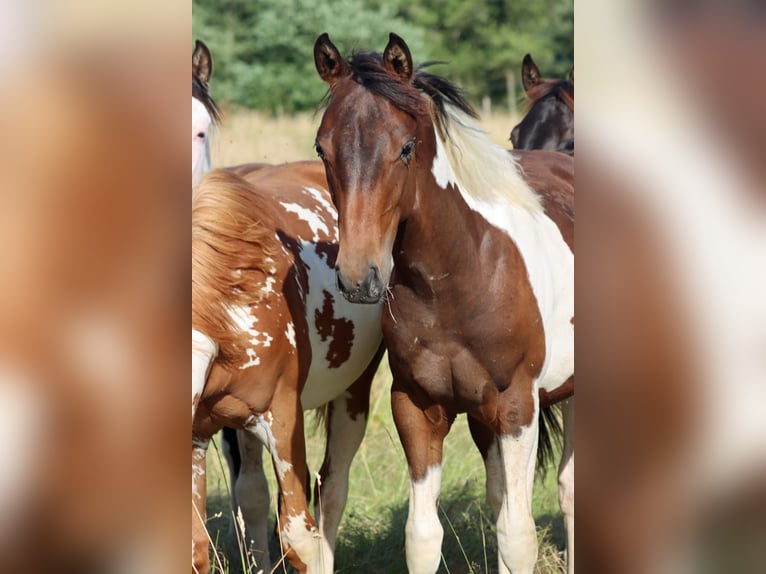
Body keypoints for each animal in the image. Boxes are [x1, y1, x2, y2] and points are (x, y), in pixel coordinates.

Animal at [192, 162, 385, 574]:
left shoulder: (282, 420)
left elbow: (301, 537)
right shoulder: (197, 434)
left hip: (353, 393)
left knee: (332, 487)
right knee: (252, 494)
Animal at [313, 33, 574, 574]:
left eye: (406, 147)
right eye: (321, 148)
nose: (360, 278)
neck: (459, 279)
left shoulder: (518, 406)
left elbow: (517, 535)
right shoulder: (417, 405)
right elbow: (423, 534)